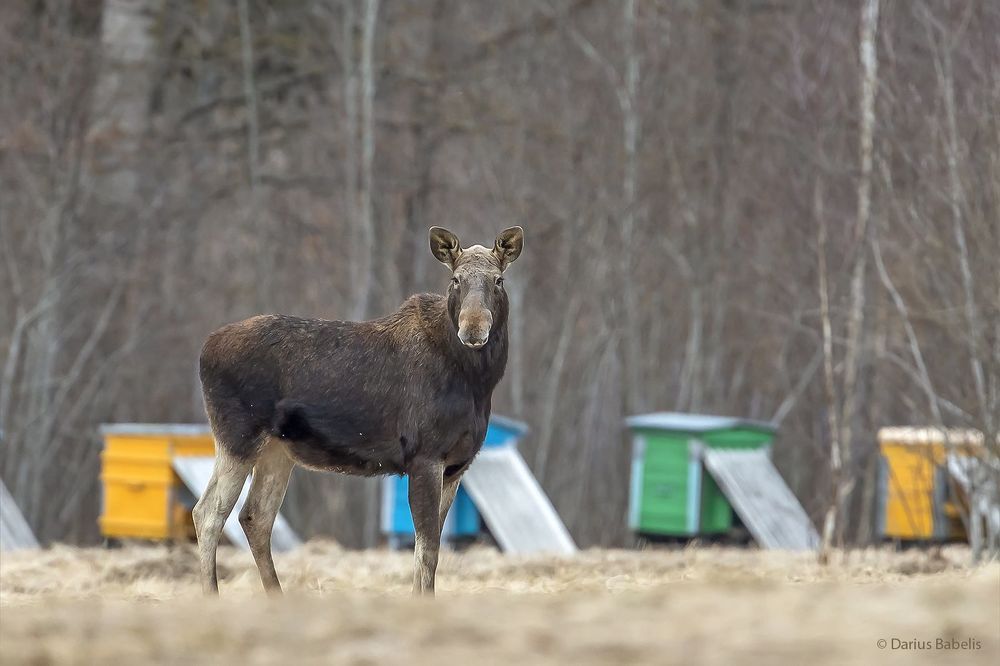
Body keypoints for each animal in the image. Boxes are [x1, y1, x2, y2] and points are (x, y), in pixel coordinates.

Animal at [192, 226, 523, 596]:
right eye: (455, 279)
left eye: (499, 280)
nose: (474, 328)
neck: (477, 384)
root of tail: (205, 350)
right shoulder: (425, 456)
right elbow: (426, 551)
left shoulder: (456, 466)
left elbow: (432, 549)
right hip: (237, 438)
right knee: (208, 513)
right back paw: (212, 595)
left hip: (277, 450)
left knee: (254, 516)